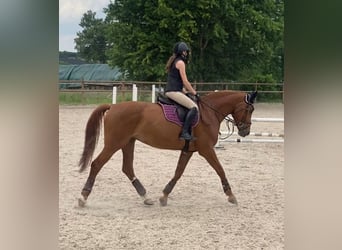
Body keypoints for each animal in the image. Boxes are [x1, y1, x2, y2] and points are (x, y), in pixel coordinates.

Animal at [77, 90, 256, 207]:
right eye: (249, 109)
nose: (245, 131)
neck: (208, 113)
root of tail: (113, 107)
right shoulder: (206, 150)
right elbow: (220, 169)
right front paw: (231, 195)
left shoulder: (188, 150)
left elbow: (178, 172)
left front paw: (164, 195)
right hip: (114, 143)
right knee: (97, 164)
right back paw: (83, 197)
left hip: (128, 142)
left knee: (127, 168)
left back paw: (145, 197)